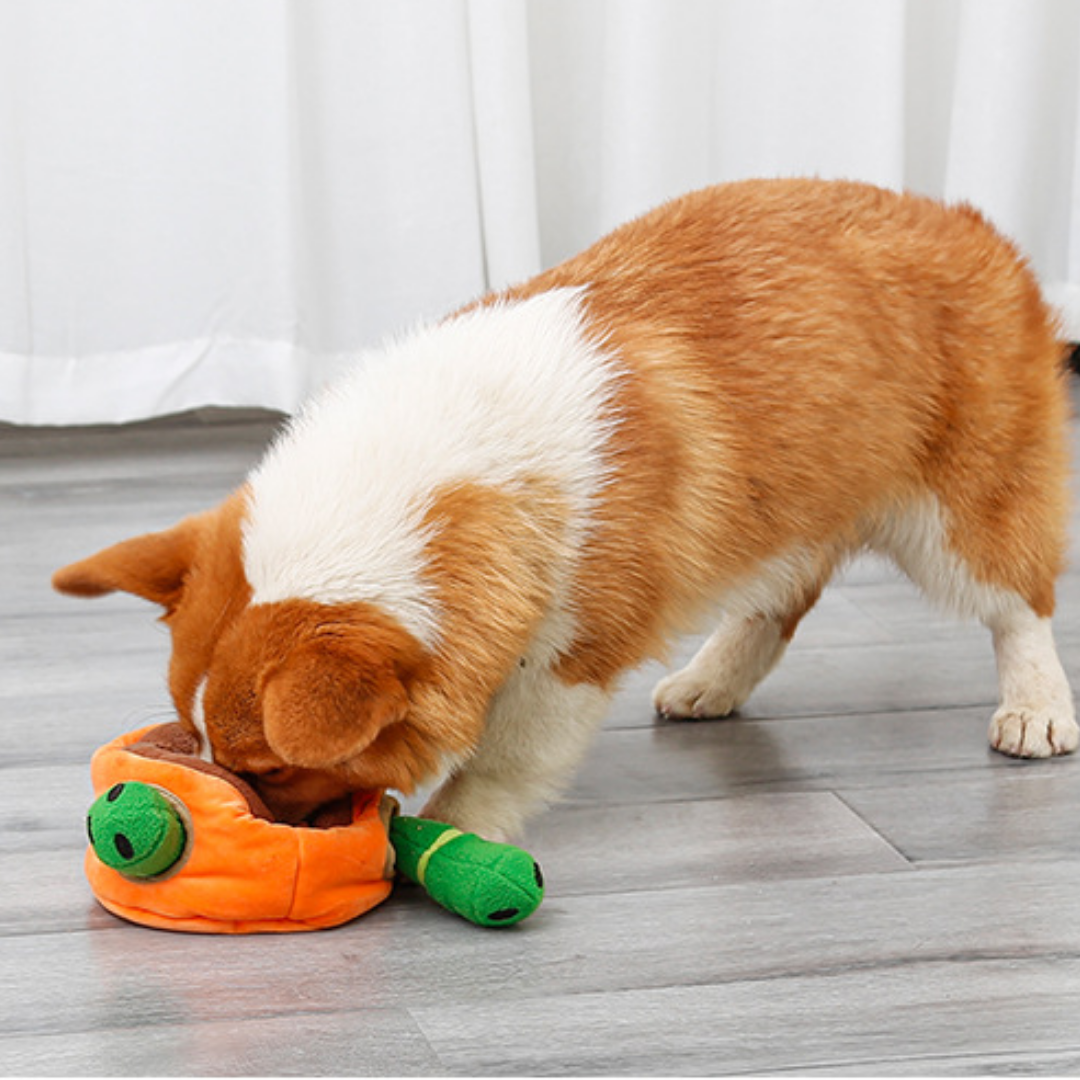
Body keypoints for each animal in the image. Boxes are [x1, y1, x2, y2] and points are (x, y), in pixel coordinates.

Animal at [54, 178, 1077, 840]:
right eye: (197, 743)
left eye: (266, 768)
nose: (245, 823)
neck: (453, 481)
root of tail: (971, 227)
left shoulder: (572, 655)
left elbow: (507, 754)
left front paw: (456, 828)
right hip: (780, 505)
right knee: (780, 600)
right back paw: (712, 681)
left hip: (957, 514)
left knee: (1017, 601)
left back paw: (1037, 711)